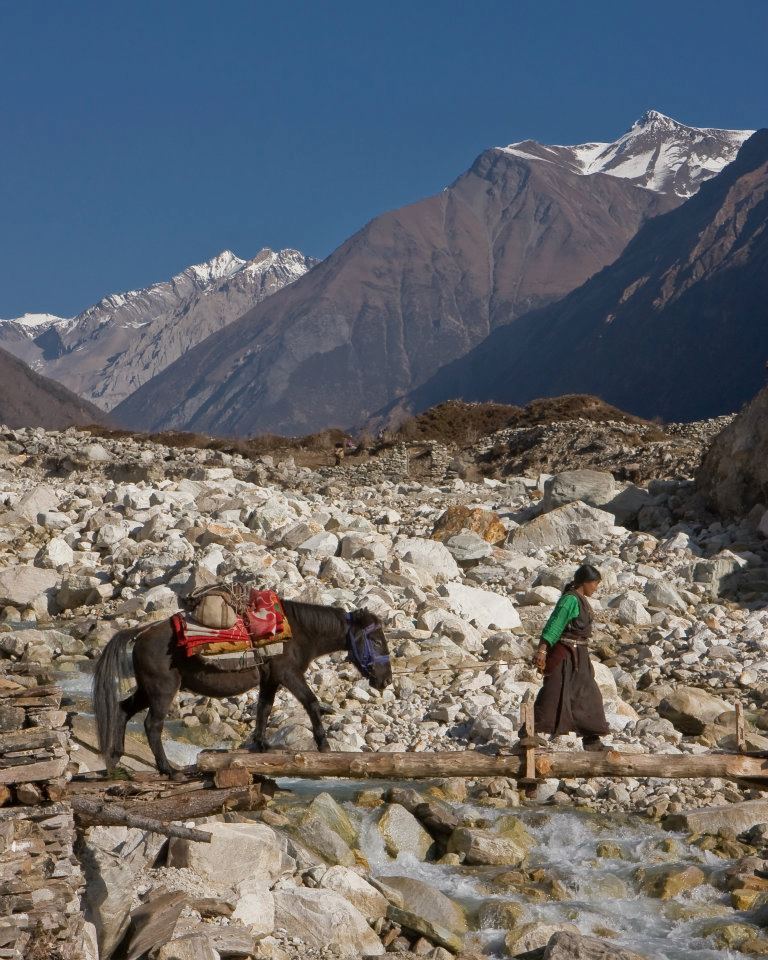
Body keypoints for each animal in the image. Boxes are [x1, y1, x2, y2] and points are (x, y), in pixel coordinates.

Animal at [91, 584, 390, 780]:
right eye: (376, 641)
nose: (385, 680)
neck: (300, 632)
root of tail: (140, 633)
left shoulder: (271, 680)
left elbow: (264, 710)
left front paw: (260, 746)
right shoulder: (289, 674)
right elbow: (312, 703)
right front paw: (324, 746)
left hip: (147, 690)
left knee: (123, 709)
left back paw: (115, 761)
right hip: (162, 690)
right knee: (152, 725)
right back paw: (170, 771)